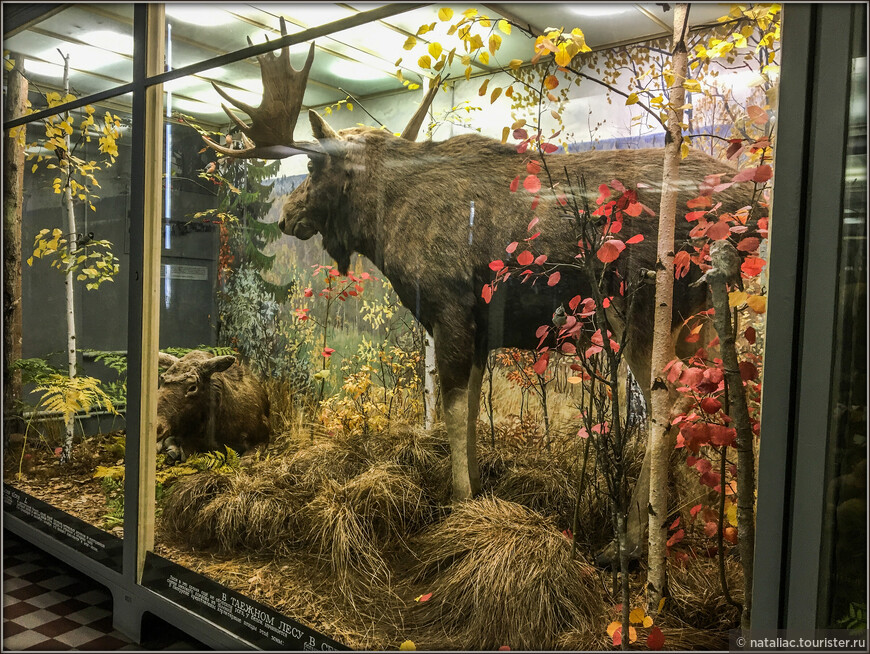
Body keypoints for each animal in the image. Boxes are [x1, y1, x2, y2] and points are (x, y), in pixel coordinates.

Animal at [204, 23, 756, 560]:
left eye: (313, 166)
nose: (285, 216)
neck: (382, 226)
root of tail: (748, 204)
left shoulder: (450, 309)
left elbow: (451, 409)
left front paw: (458, 501)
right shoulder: (480, 330)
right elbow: (469, 410)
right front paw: (475, 488)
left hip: (643, 309)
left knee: (670, 404)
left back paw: (630, 542)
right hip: (699, 317)